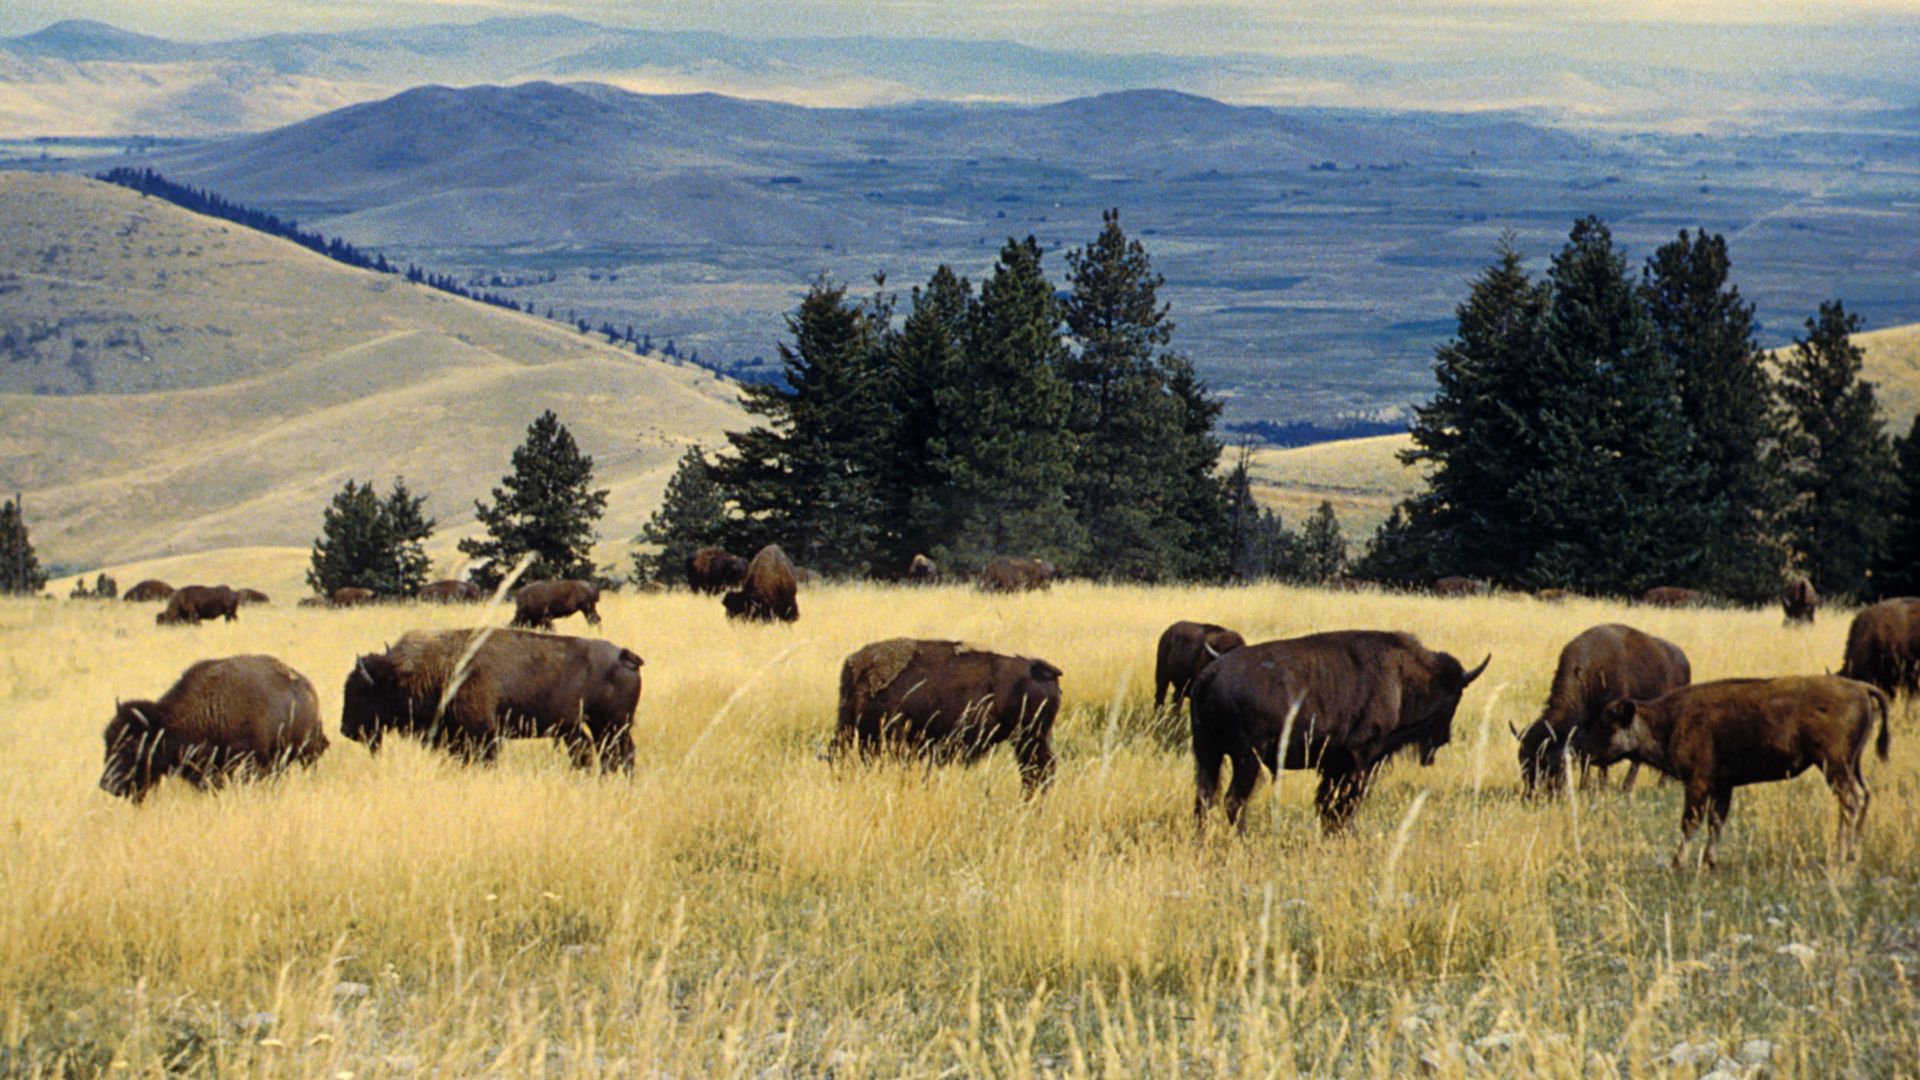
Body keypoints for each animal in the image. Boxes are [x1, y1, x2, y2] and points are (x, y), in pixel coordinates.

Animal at [342, 628, 642, 771]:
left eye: (361, 694)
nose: (345, 730)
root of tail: (624, 655)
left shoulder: (484, 736)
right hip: (592, 728)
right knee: (604, 755)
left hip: (612, 725)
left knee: (620, 754)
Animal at [1191, 630, 1489, 833]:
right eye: (1455, 696)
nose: (1444, 738)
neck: (1402, 678)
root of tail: (1211, 675)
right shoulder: (1360, 759)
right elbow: (1344, 804)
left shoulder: (1333, 765)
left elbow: (1327, 805)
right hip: (1246, 759)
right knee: (1233, 800)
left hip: (1208, 753)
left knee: (1205, 797)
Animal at [1514, 624, 1690, 796]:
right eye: (1522, 759)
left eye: (1547, 762)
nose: (1531, 795)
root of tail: (1683, 659)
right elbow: (1586, 758)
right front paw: (1585, 787)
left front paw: (1599, 788)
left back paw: (1645, 786)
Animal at [1573, 676, 1890, 868]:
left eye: (1606, 723)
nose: (1582, 749)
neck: (1671, 720)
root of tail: (1860, 688)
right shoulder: (1723, 786)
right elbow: (1716, 821)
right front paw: (1709, 862)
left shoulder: (1698, 783)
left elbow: (1691, 822)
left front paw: (1677, 864)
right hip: (1853, 765)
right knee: (1865, 795)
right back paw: (1852, 854)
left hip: (1834, 766)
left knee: (1851, 802)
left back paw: (1840, 855)